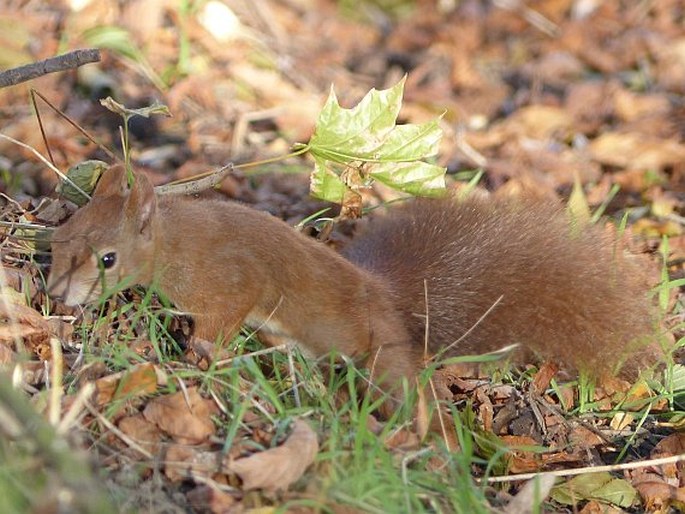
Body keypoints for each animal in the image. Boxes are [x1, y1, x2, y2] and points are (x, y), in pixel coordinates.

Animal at [49, 164, 656, 400]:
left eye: (108, 259)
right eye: (62, 231)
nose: (55, 295)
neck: (178, 244)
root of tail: (386, 295)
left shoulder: (233, 279)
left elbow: (222, 320)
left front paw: (203, 354)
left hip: (379, 349)